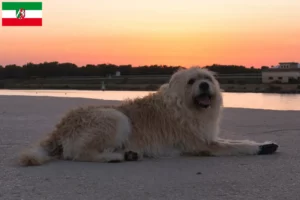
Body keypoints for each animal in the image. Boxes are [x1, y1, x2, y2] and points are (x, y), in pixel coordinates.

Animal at [19, 67, 278, 166]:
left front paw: (265, 144)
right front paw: (258, 148)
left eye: (207, 78)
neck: (185, 106)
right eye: (192, 81)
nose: (205, 85)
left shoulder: (207, 136)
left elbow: (235, 141)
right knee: (78, 154)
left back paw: (126, 153)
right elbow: (237, 146)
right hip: (115, 117)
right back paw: (115, 157)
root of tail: (59, 128)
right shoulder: (203, 144)